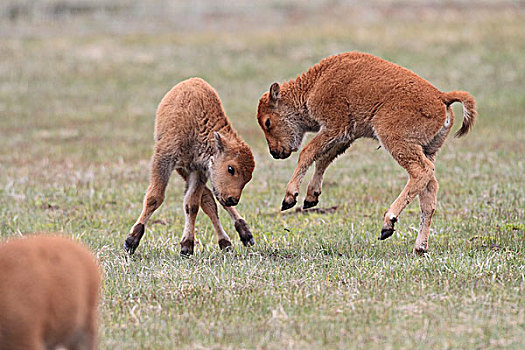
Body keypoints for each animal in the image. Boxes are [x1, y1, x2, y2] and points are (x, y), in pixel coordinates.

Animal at [123, 78, 254, 256]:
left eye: (248, 178)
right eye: (231, 169)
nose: (232, 199)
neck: (197, 124)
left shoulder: (199, 170)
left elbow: (191, 204)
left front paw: (186, 246)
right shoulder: (165, 159)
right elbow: (154, 197)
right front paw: (131, 241)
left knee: (210, 200)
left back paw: (233, 238)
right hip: (182, 169)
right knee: (209, 199)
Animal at [256, 51, 476, 254]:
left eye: (267, 122)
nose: (275, 152)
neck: (316, 82)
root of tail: (441, 97)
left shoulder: (334, 127)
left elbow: (308, 153)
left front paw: (289, 198)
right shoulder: (345, 136)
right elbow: (323, 159)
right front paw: (311, 197)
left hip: (395, 140)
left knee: (421, 171)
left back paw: (388, 224)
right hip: (427, 150)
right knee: (429, 191)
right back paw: (419, 248)